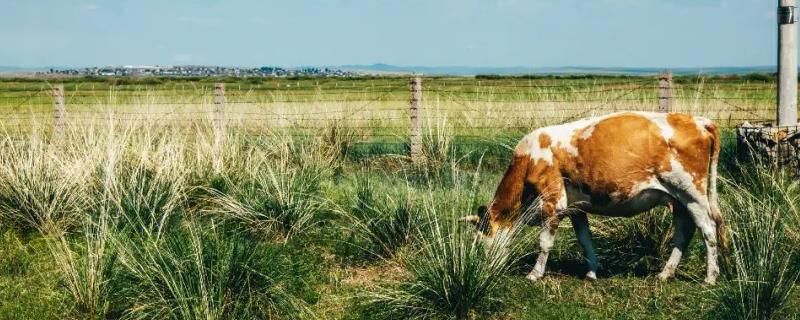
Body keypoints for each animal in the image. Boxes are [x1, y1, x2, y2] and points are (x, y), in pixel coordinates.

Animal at [462, 111, 732, 284]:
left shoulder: (554, 202)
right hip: (678, 200)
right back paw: (666, 273)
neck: (529, 158)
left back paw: (710, 277)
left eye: (480, 241)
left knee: (708, 230)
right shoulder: (576, 208)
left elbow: (544, 243)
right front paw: (592, 271)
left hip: (692, 193)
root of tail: (698, 120)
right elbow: (585, 239)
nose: (483, 270)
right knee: (683, 233)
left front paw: (535, 274)